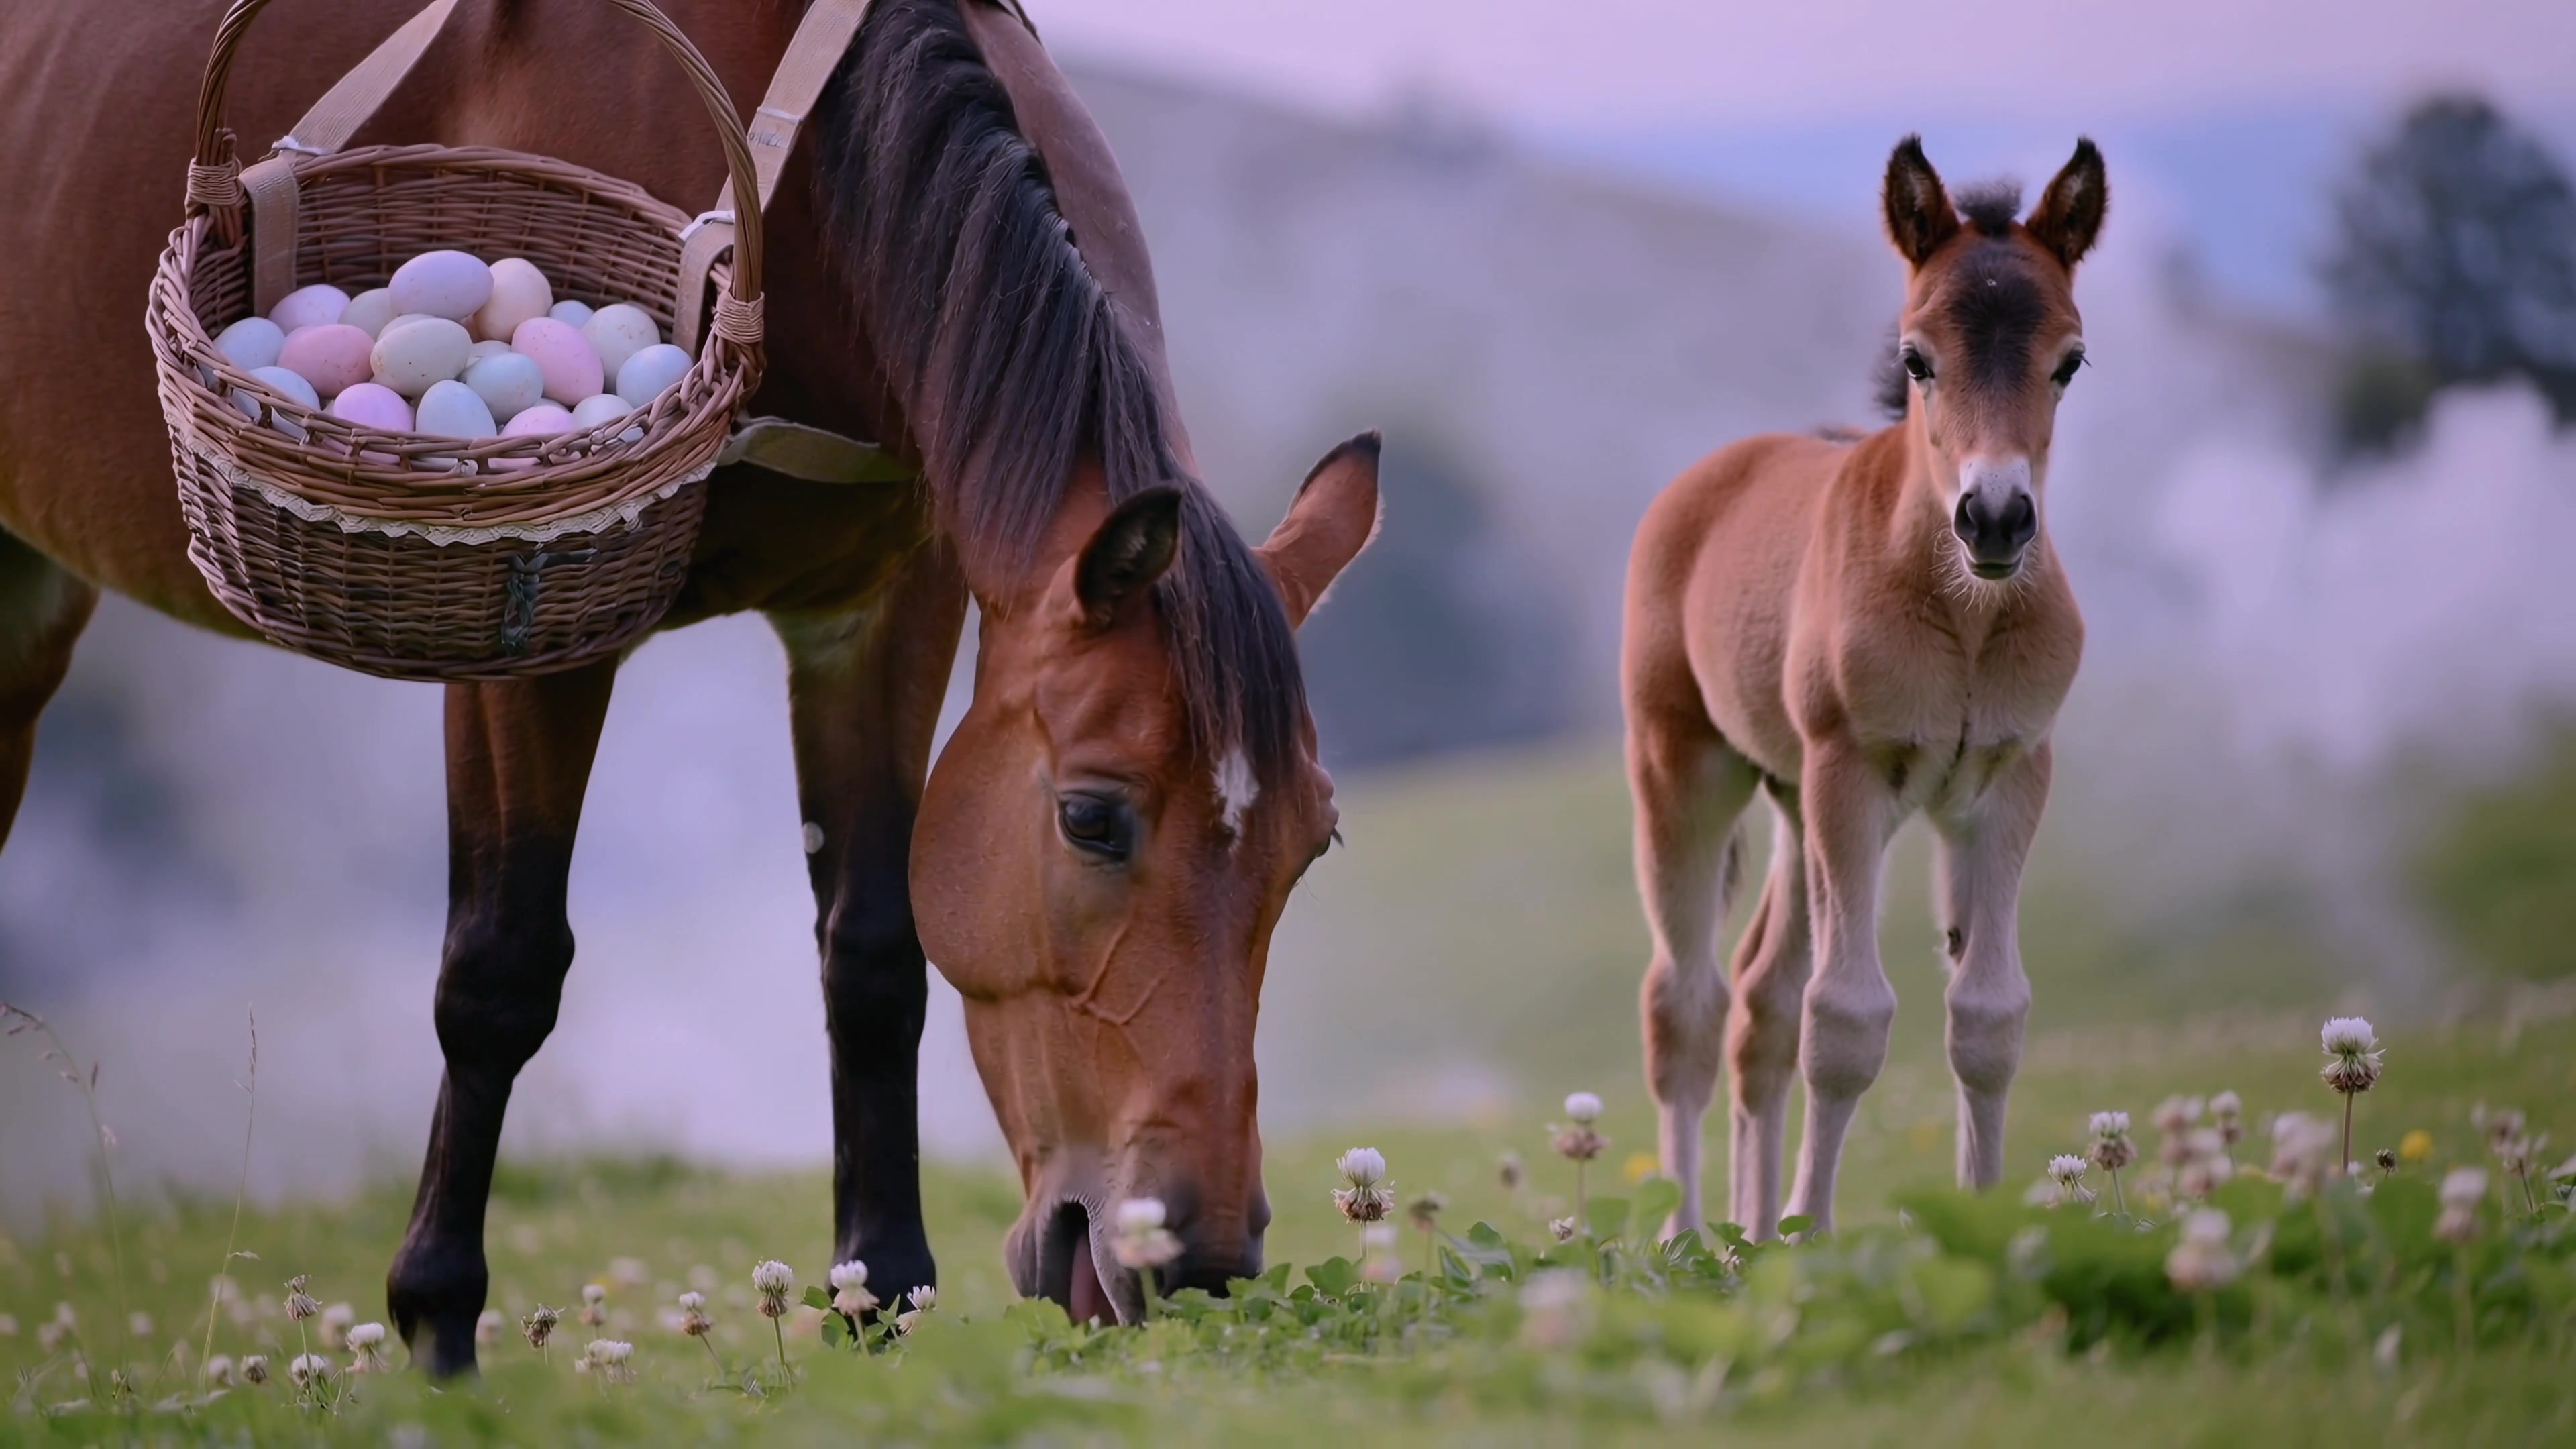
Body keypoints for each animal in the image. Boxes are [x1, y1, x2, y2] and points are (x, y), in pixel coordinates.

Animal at [0, 0, 1382, 1372]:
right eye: (1092, 820)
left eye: (1314, 847)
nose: (1199, 1264)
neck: (802, 166)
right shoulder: (531, 618)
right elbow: (500, 969)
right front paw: (440, 1323)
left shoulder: (885, 609)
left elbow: (874, 950)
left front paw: (877, 1295)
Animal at [1622, 136, 2105, 1240]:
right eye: (1918, 357)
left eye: (2071, 361)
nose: (1996, 518)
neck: (1966, 615)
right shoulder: (1851, 770)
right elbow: (1844, 1018)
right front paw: (1812, 1240)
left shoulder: (2009, 779)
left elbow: (1988, 1015)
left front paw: (1981, 1226)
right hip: (1689, 773)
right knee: (1688, 1004)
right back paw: (1688, 1233)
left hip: (1796, 805)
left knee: (1759, 998)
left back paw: (1747, 1237)